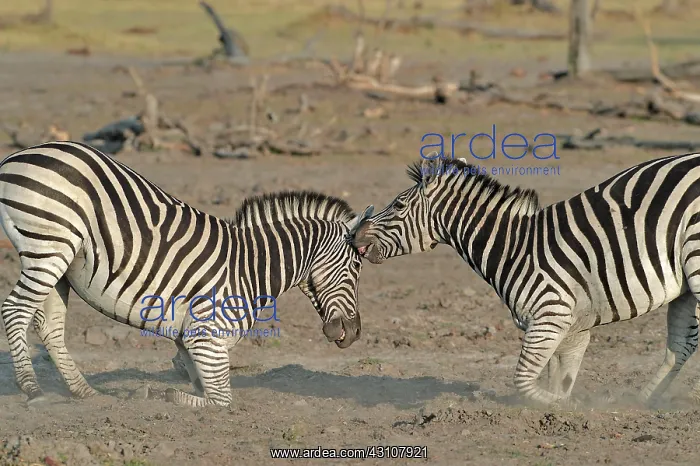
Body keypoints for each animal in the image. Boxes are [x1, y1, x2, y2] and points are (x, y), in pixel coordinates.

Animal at [0, 140, 374, 408]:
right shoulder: (206, 338)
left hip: (60, 261)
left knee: (48, 326)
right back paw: (33, 390)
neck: (249, 268)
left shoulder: (188, 342)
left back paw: (85, 393)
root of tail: (19, 155)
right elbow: (221, 400)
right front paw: (161, 395)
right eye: (356, 268)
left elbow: (197, 380)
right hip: (49, 247)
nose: (355, 333)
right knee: (15, 310)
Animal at [352, 154, 700, 408]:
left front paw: (565, 407)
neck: (515, 248)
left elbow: (522, 380)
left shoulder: (550, 315)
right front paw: (557, 410)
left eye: (398, 205)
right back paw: (641, 403)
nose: (353, 236)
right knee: (680, 347)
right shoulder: (573, 328)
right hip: (684, 289)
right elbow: (559, 378)